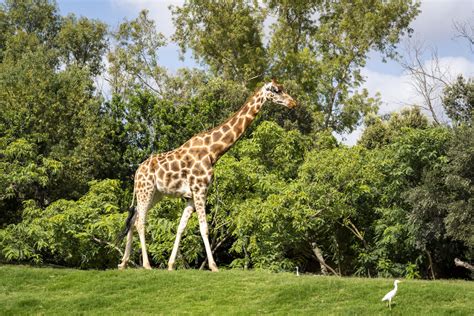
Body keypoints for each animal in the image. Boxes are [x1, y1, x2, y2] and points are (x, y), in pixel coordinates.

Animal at [117, 79, 296, 272]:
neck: (213, 151)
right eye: (276, 90)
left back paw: (123, 263)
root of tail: (136, 173)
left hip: (155, 194)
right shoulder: (200, 189)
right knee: (140, 222)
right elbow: (204, 228)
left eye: (283, 88)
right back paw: (146, 264)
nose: (293, 103)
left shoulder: (190, 195)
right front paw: (214, 266)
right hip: (146, 190)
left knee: (133, 219)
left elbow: (181, 227)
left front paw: (171, 265)